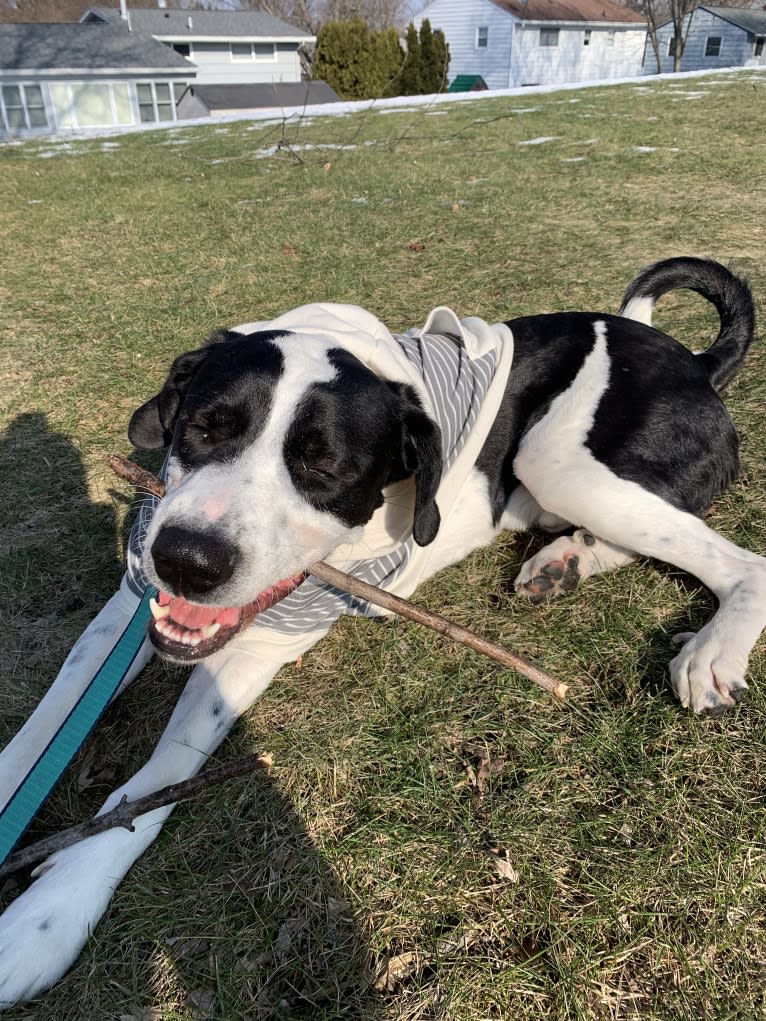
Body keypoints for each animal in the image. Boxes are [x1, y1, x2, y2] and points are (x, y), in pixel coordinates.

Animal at [1, 257, 766, 1004]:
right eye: (205, 426)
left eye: (325, 466)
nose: (187, 559)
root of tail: (692, 359)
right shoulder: (126, 611)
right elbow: (42, 728)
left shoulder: (256, 645)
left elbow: (158, 775)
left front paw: (52, 910)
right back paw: (562, 563)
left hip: (561, 458)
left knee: (740, 561)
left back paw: (709, 647)